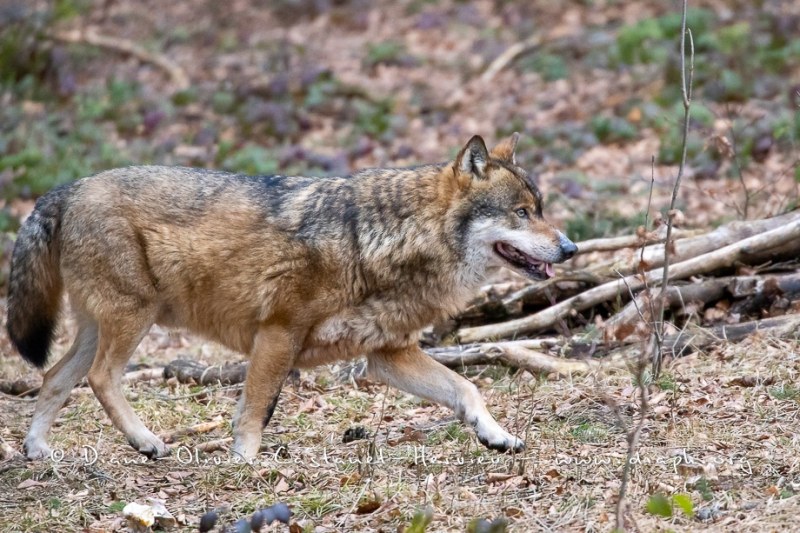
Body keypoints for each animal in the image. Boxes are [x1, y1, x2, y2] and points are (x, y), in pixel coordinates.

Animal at [9, 131, 580, 460]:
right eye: (522, 213)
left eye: (541, 208)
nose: (571, 248)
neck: (378, 241)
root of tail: (67, 187)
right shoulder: (278, 333)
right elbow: (255, 412)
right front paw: (245, 468)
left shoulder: (387, 354)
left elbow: (467, 389)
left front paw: (496, 436)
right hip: (134, 319)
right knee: (100, 378)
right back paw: (146, 441)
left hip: (99, 327)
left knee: (54, 377)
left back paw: (37, 451)